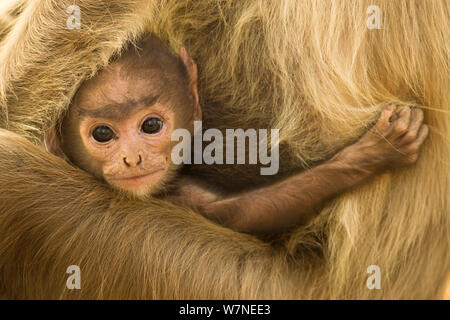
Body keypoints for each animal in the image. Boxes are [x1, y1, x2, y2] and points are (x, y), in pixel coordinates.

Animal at [48, 35, 428, 235]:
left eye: (151, 126)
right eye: (103, 133)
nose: (132, 158)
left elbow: (234, 214)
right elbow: (239, 216)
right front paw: (371, 155)